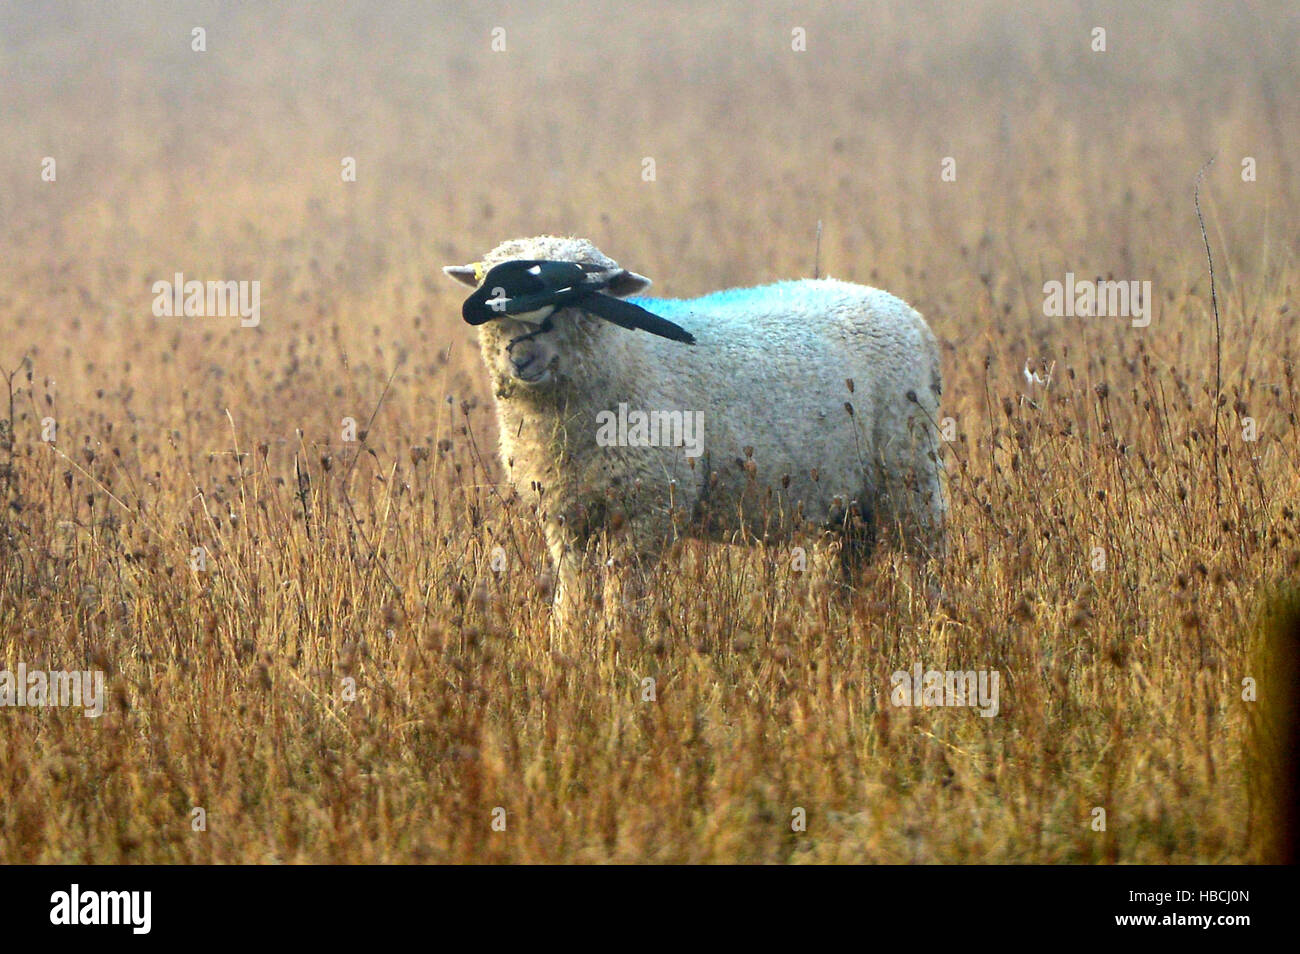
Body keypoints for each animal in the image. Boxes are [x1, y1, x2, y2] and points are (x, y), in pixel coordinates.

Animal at [444, 235, 946, 631]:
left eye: (577, 304)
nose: (521, 357)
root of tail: (907, 313)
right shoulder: (564, 513)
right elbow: (574, 592)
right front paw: (569, 645)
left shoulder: (650, 507)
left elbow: (622, 594)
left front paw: (616, 651)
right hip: (848, 500)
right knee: (847, 563)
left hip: (909, 471)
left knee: (926, 554)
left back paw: (933, 618)